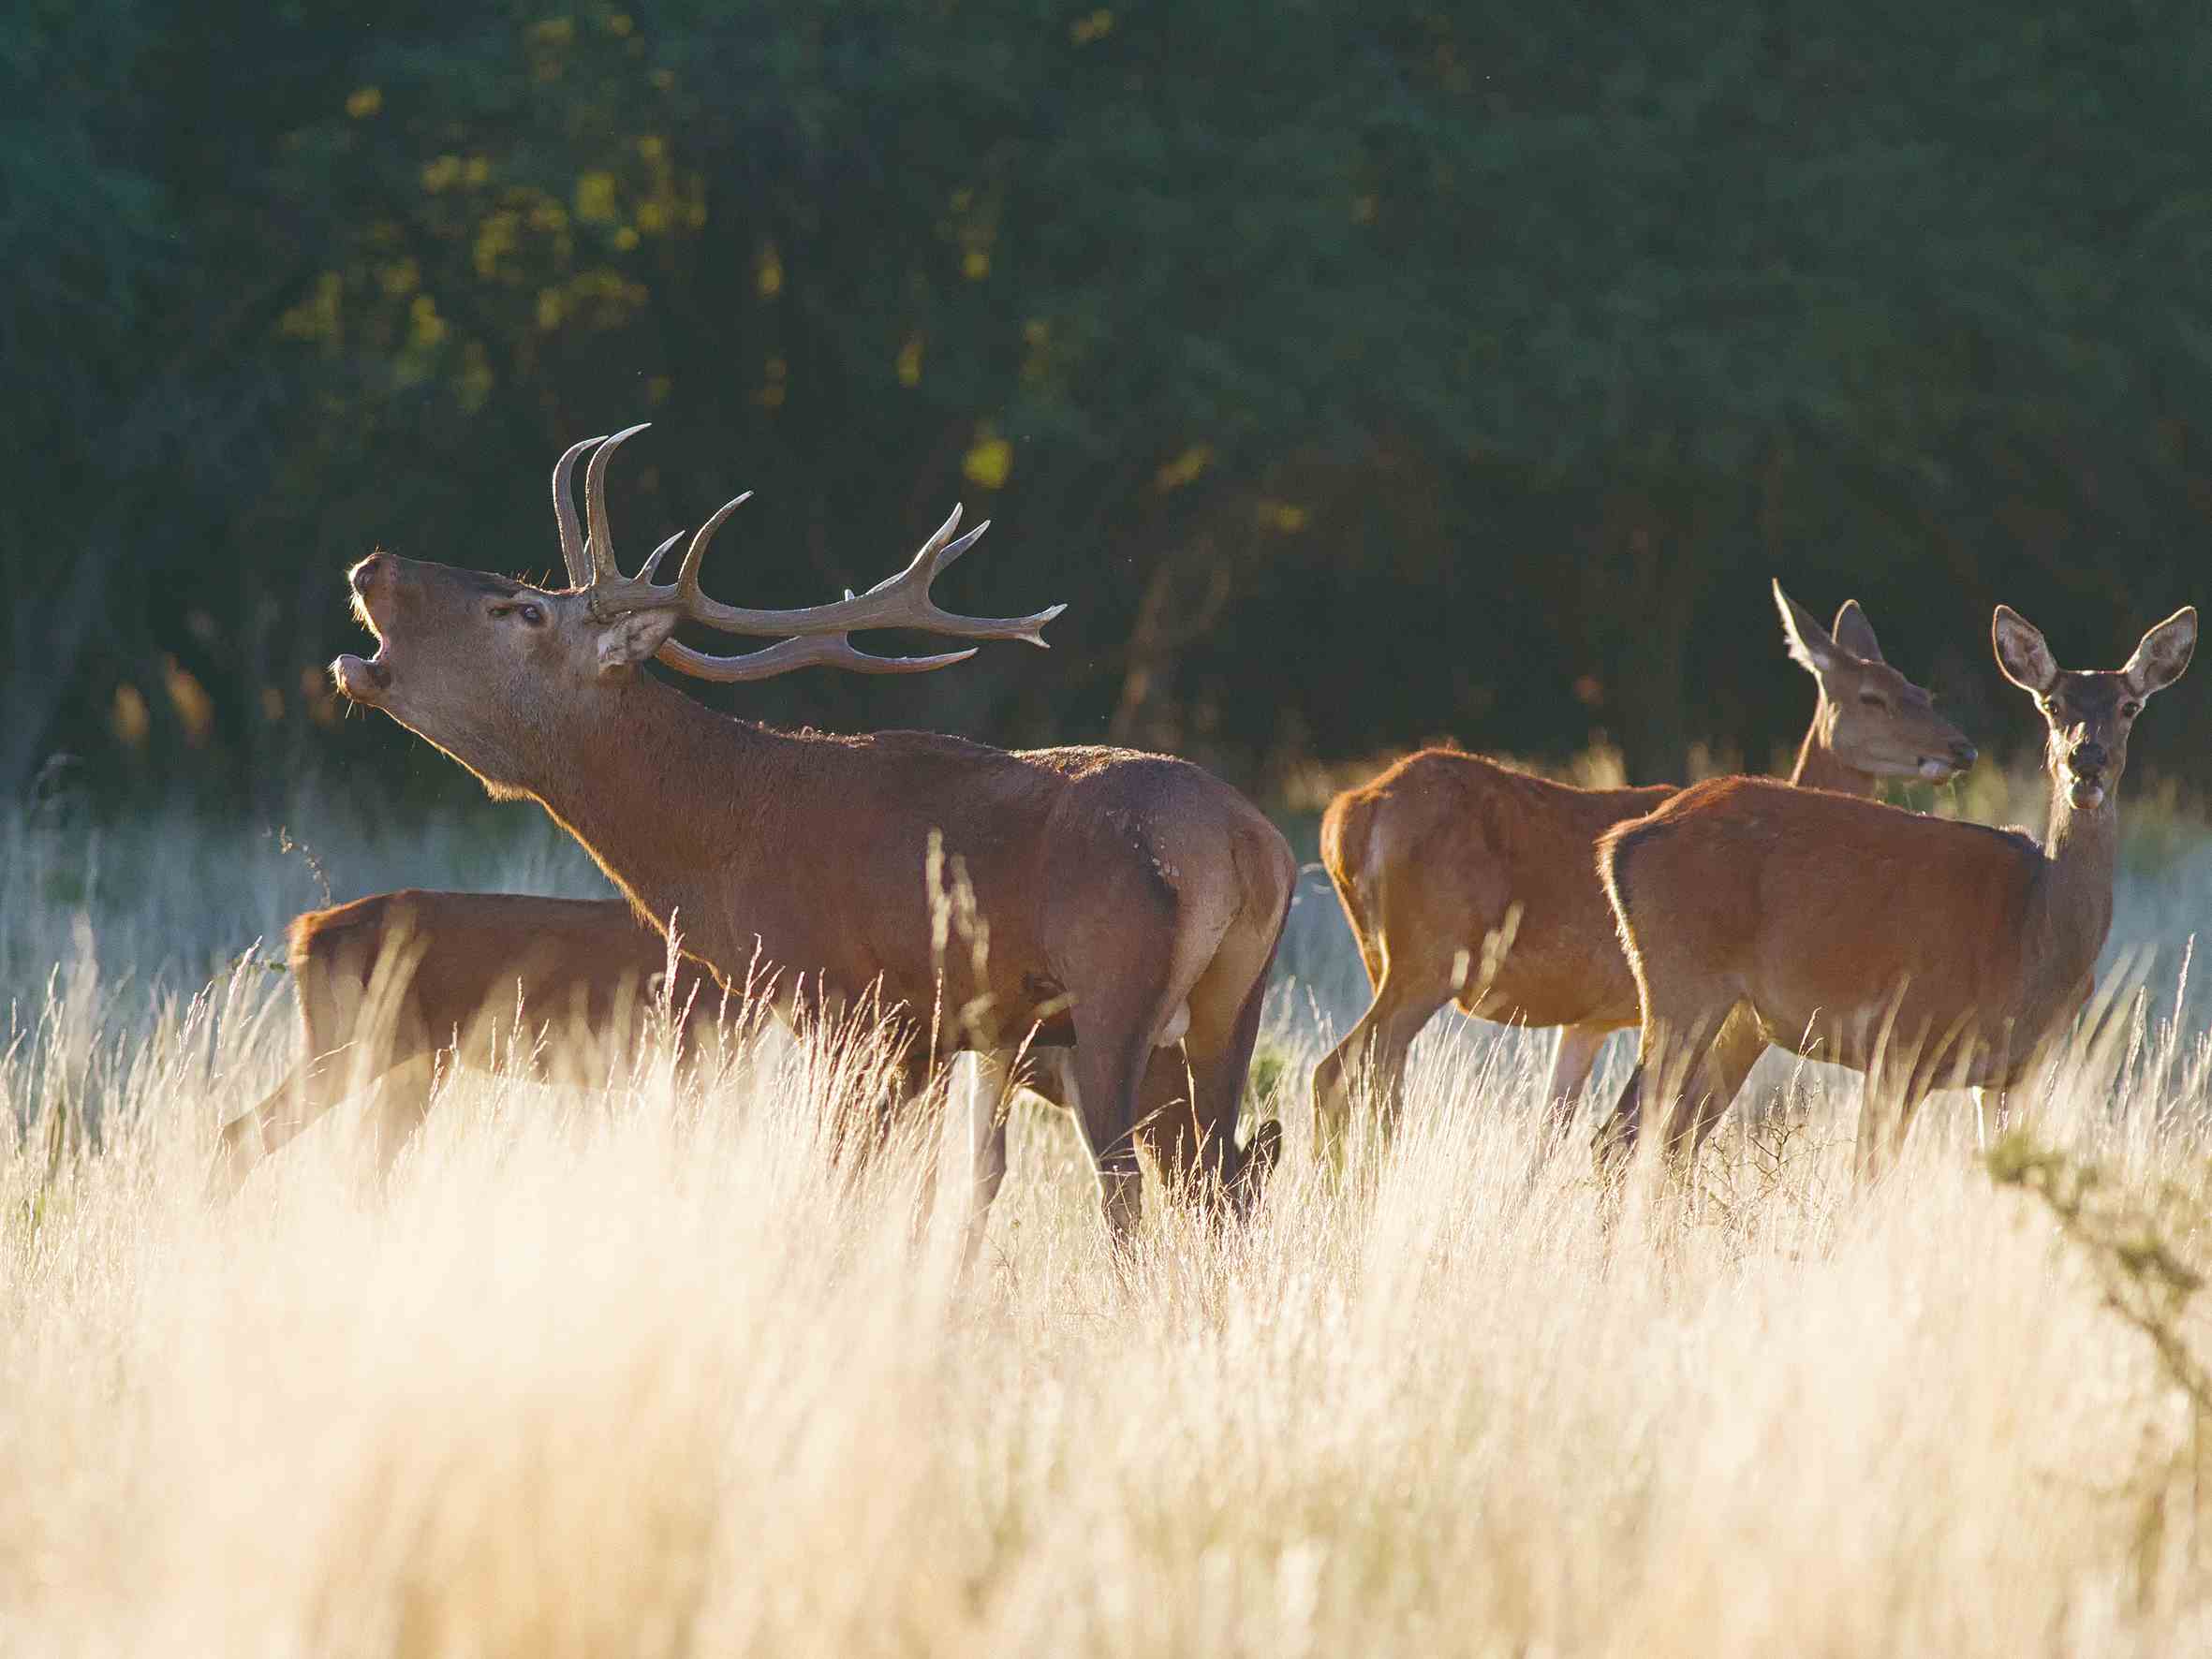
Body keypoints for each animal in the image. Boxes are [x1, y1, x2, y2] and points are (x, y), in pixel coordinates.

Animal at [204, 891, 726, 1200]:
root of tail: (307, 932)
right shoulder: (695, 1057)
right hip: (354, 1041)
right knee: (240, 1135)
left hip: (413, 1063)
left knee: (362, 1159)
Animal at [324, 425, 1295, 1241]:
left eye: (524, 609)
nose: (373, 564)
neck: (726, 847)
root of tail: (1251, 847)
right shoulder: (934, 1035)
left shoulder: (847, 1005)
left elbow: (843, 1181)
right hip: (1229, 1006)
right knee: (1222, 1177)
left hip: (1114, 992)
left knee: (1129, 1182)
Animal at [1311, 583, 1978, 1139]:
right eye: (1873, 698)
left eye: (1923, 691)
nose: (1961, 748)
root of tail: (1347, 817)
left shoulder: (1590, 1018)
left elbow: (1554, 1135)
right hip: (1430, 956)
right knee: (1340, 1071)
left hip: (1381, 957)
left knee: (1378, 1083)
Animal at [1594, 603, 2196, 1181]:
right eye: (2051, 704)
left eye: (2129, 707)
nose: (2086, 761)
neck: (2030, 940)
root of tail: (1618, 842)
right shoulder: (1903, 1040)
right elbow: (1869, 1177)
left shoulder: (2016, 1072)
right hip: (1682, 979)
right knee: (1622, 1134)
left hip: (1733, 1014)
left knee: (1664, 1136)